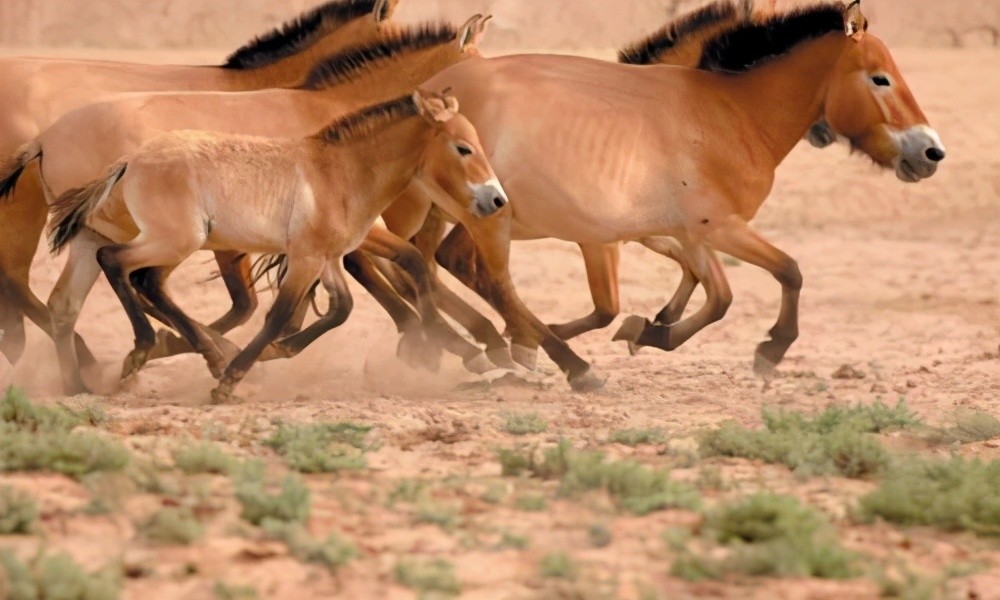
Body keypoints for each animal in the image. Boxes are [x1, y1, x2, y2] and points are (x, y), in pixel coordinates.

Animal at [45, 91, 508, 404]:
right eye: (463, 148)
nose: (497, 200)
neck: (339, 173)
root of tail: (131, 162)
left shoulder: (327, 258)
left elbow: (341, 309)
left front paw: (271, 353)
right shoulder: (305, 258)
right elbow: (280, 313)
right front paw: (231, 380)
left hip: (162, 242)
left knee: (127, 282)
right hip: (175, 241)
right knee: (119, 266)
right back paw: (150, 351)